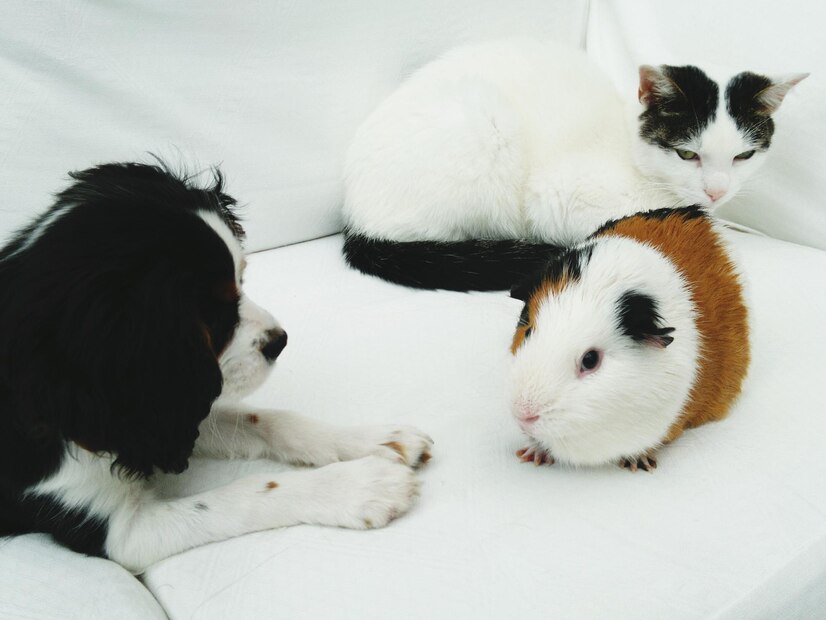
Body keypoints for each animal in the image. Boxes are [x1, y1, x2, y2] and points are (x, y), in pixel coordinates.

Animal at [0, 162, 434, 572]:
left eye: (242, 282)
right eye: (212, 316)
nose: (280, 340)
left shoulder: (171, 407)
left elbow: (265, 419)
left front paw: (373, 440)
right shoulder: (120, 529)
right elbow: (245, 493)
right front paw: (361, 485)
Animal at [338, 38, 800, 290]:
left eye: (743, 156)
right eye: (688, 154)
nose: (716, 191)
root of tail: (355, 218)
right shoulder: (558, 197)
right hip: (485, 126)